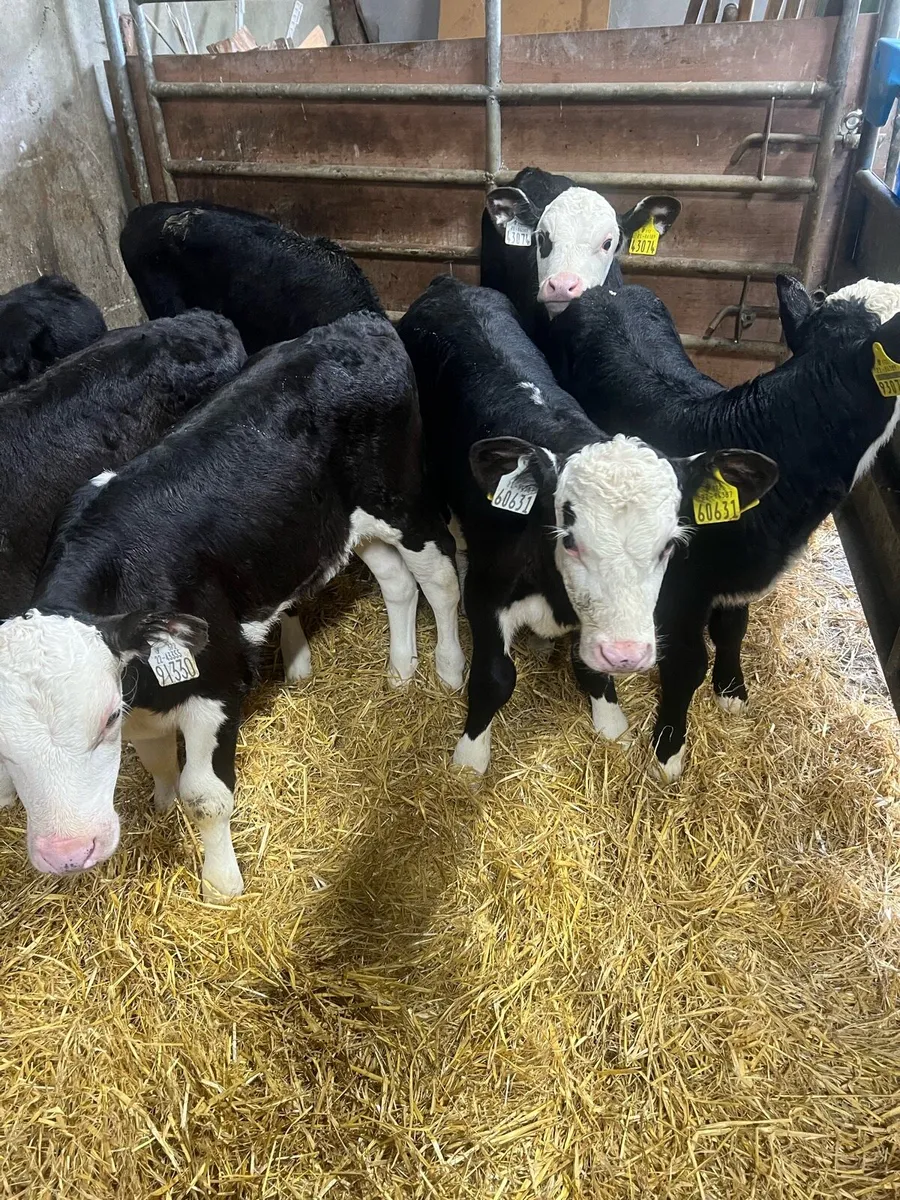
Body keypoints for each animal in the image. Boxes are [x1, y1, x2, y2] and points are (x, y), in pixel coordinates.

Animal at [397, 275, 775, 776]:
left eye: (668, 546)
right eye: (570, 541)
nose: (626, 654)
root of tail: (451, 283)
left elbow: (590, 667)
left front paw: (611, 720)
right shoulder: (486, 593)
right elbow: (494, 678)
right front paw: (470, 756)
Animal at [547, 276, 899, 780]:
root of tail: (605, 289)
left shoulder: (738, 578)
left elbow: (734, 629)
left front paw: (731, 690)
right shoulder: (679, 587)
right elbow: (686, 663)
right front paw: (669, 748)